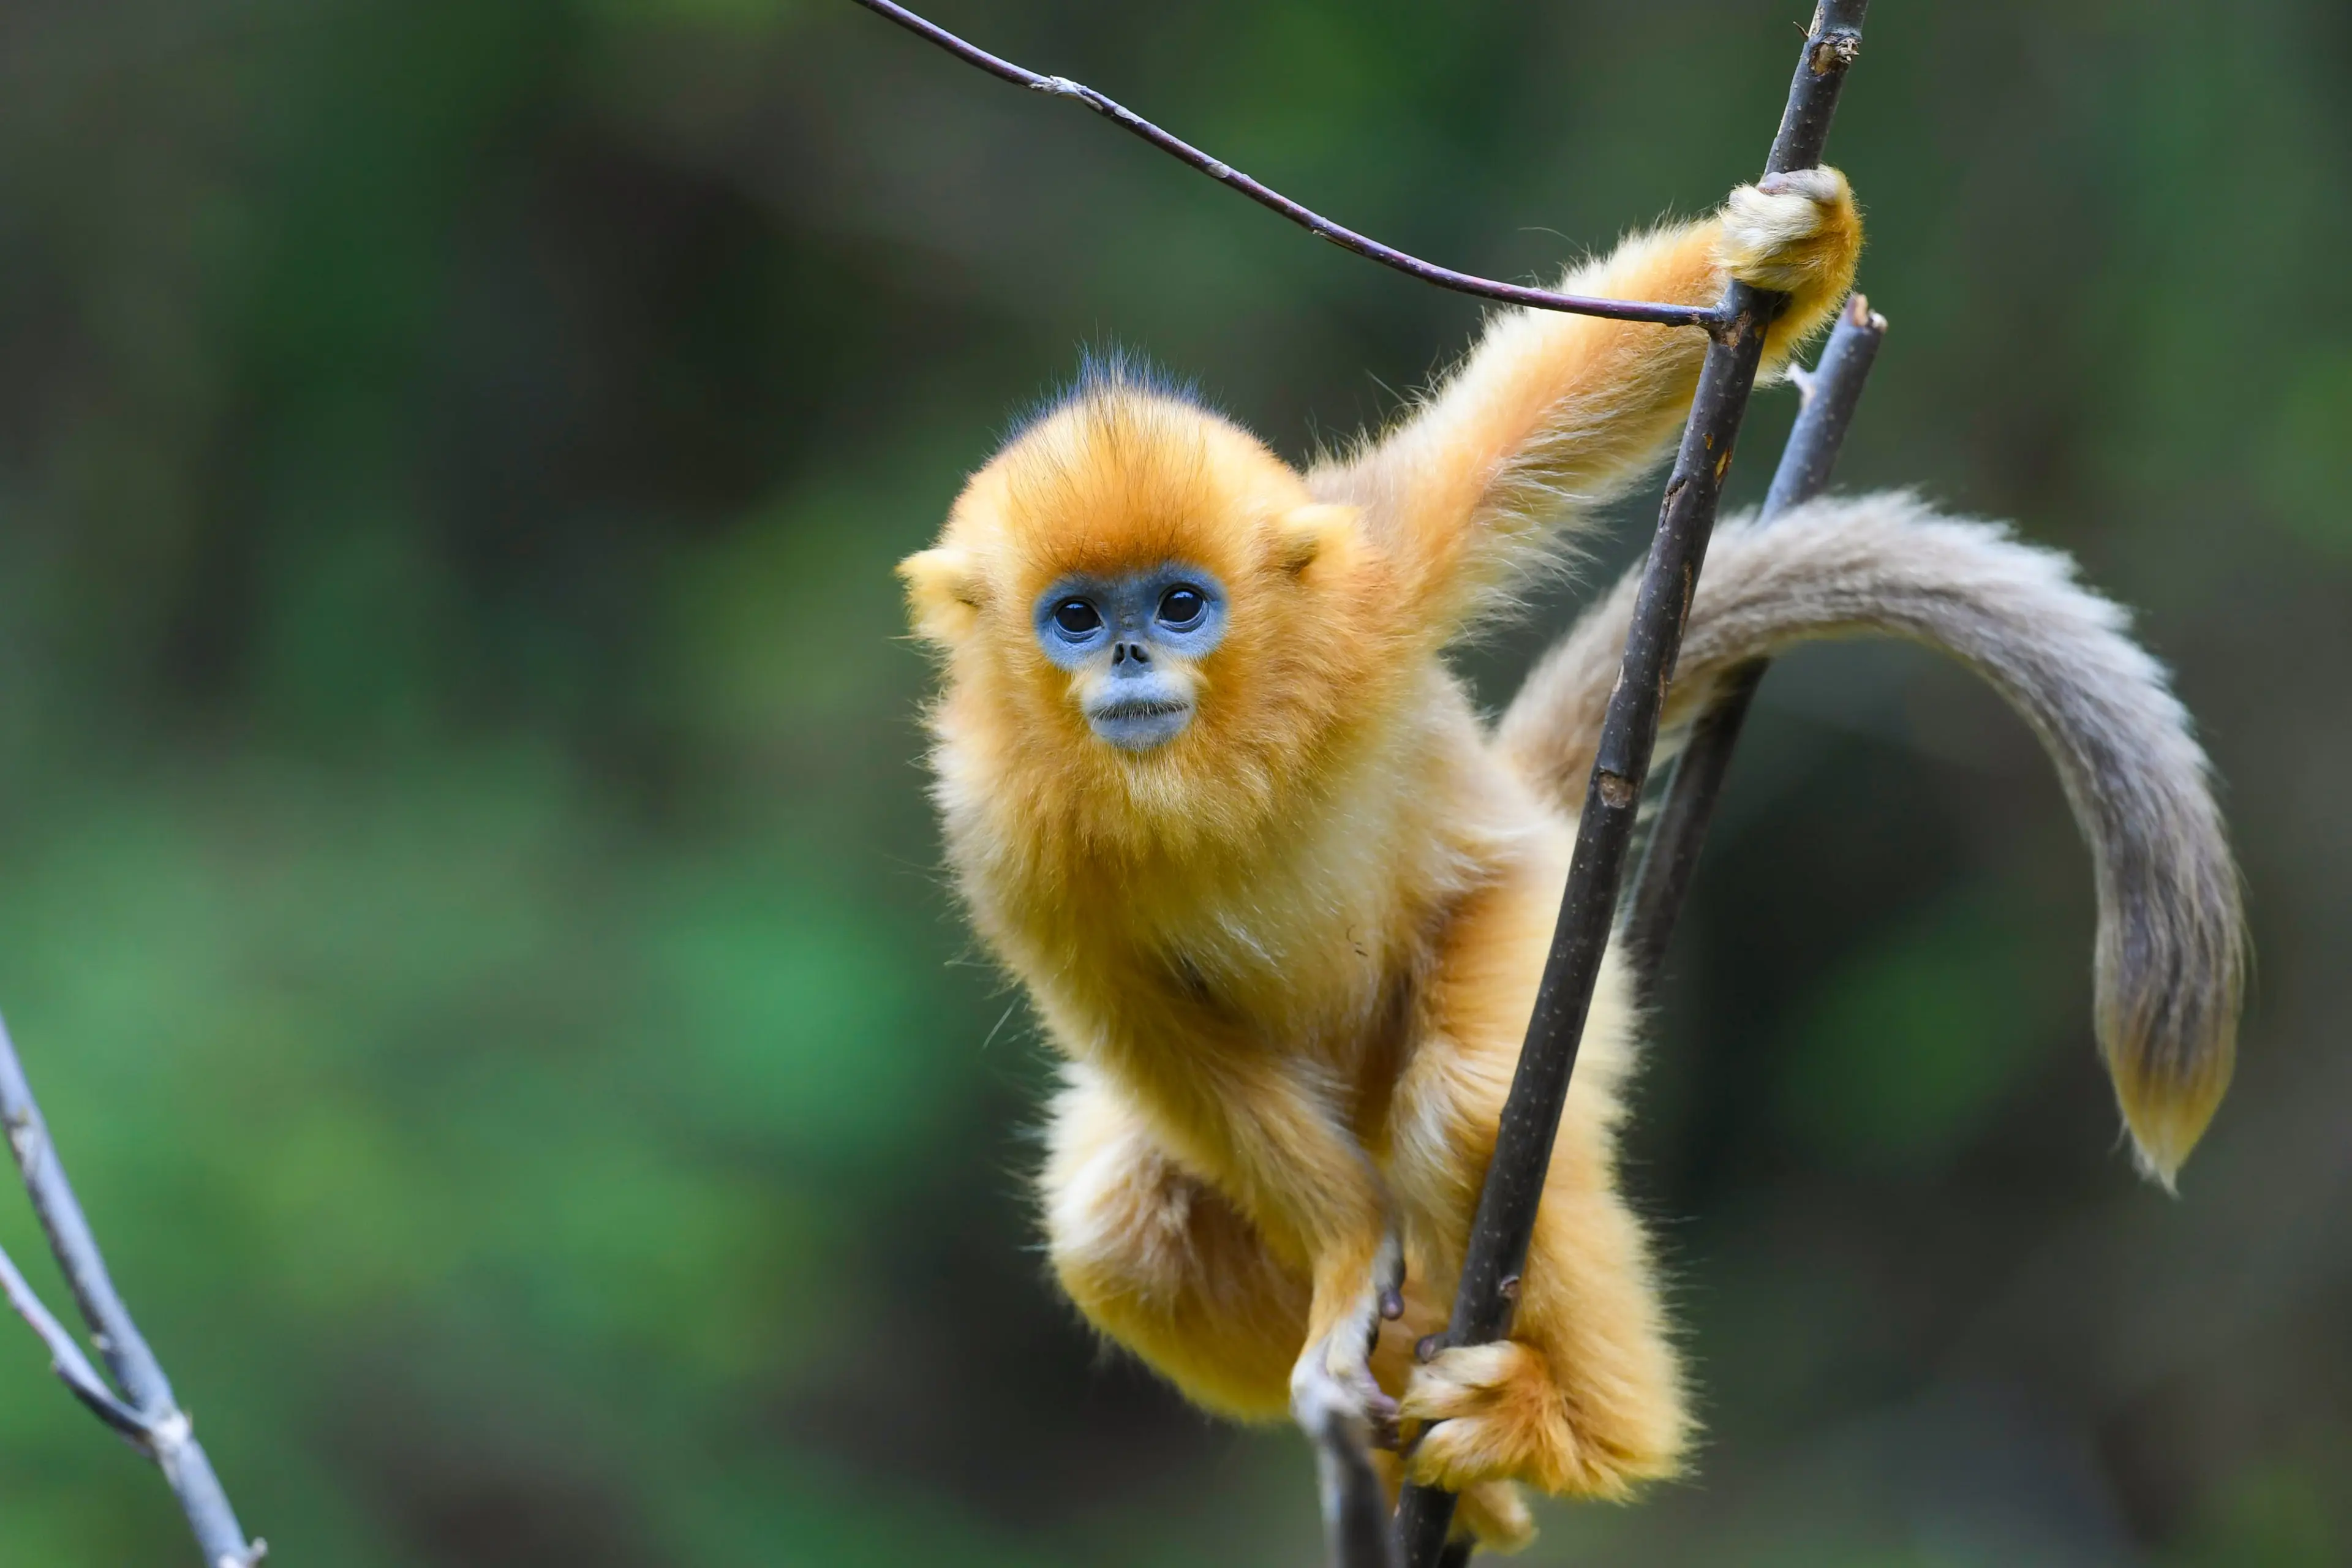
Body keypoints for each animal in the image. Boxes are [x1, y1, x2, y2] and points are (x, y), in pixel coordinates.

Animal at [897, 166, 2244, 1549]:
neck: (1200, 771)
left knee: (1473, 1106)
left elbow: (1530, 420)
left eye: (1179, 604)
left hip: (1542, 914)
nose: (1126, 659)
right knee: (1121, 1235)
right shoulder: (1001, 841)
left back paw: (1572, 1435)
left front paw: (1791, 250)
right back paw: (1443, 1466)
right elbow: (1142, 1029)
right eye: (1074, 616)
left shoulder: (1367, 592)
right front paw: (1349, 1262)